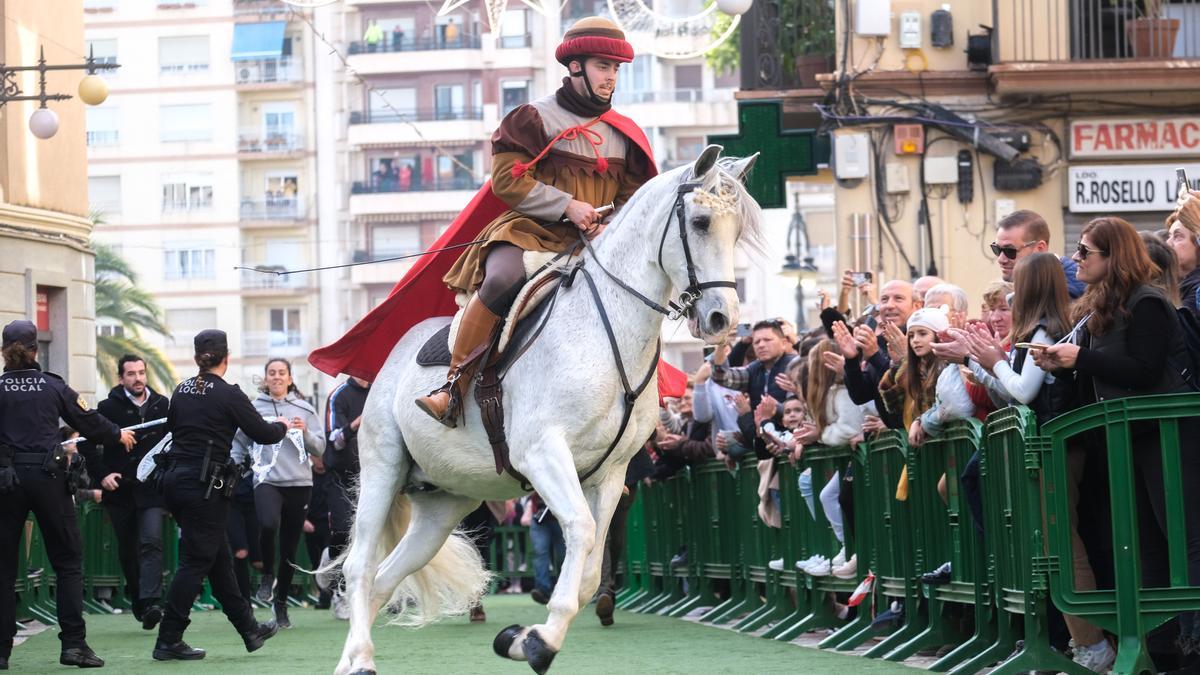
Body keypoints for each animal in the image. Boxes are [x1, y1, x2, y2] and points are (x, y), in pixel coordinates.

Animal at [331, 144, 758, 667]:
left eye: (736, 230)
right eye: (699, 222)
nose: (721, 318)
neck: (606, 328)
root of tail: (390, 358)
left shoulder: (610, 474)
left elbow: (591, 568)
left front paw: (523, 637)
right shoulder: (542, 454)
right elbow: (580, 529)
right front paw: (540, 640)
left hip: (442, 503)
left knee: (385, 578)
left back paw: (354, 658)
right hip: (384, 468)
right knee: (361, 567)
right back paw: (360, 657)